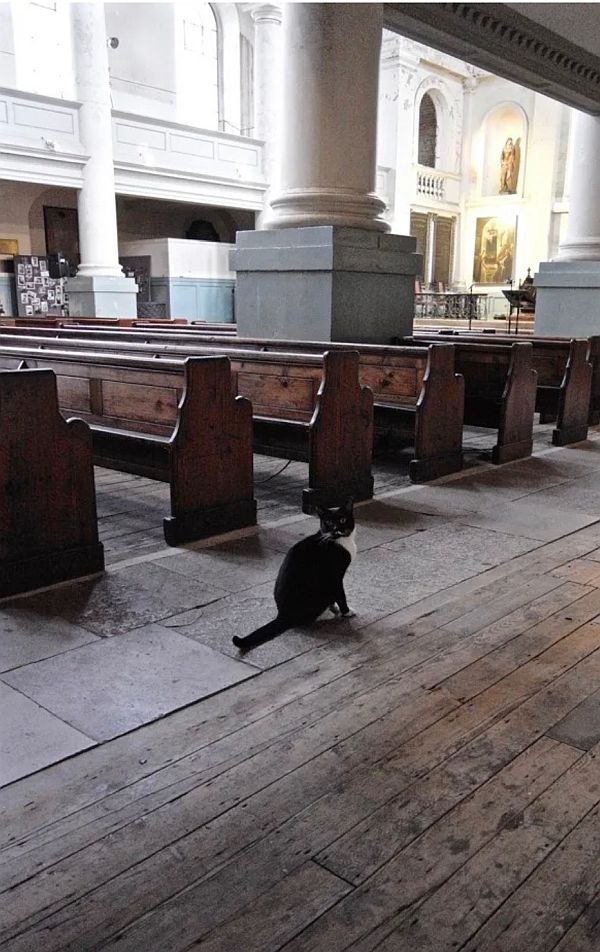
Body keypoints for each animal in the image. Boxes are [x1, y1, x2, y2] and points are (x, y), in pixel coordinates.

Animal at [232, 498, 356, 656]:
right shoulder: (335, 577)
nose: (335, 529)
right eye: (328, 522)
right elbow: (341, 595)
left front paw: (336, 607)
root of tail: (282, 615)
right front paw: (346, 612)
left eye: (342, 519)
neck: (340, 541)